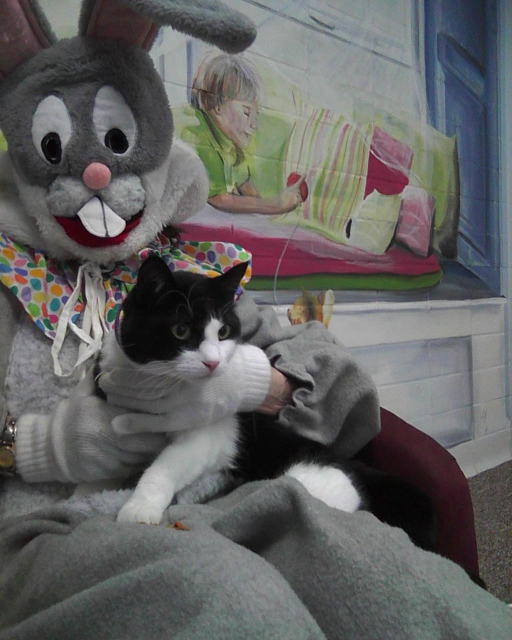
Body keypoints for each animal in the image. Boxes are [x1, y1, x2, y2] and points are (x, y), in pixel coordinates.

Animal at [99, 255, 436, 552]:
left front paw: (140, 507)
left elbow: (166, 465)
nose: (213, 363)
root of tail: (350, 466)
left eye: (223, 331)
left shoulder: (210, 435)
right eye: (180, 330)